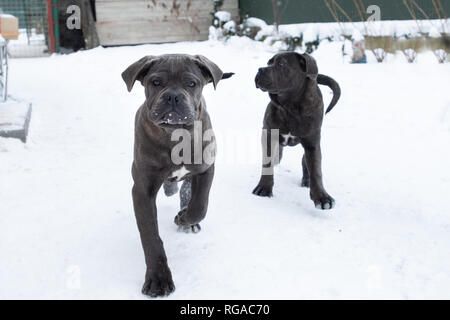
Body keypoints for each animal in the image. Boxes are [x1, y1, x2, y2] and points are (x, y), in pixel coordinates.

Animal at [122, 53, 232, 296]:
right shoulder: (142, 189)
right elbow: (150, 237)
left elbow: (200, 205)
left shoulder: (206, 168)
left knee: (187, 191)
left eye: (191, 83)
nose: (172, 96)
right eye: (155, 82)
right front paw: (158, 279)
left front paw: (184, 218)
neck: (175, 134)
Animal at [253, 51, 342, 209]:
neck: (291, 107)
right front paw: (264, 188)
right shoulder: (268, 134)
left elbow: (316, 170)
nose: (260, 69)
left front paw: (322, 197)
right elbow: (267, 162)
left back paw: (306, 180)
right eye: (269, 62)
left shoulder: (312, 143)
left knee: (305, 161)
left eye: (281, 64)